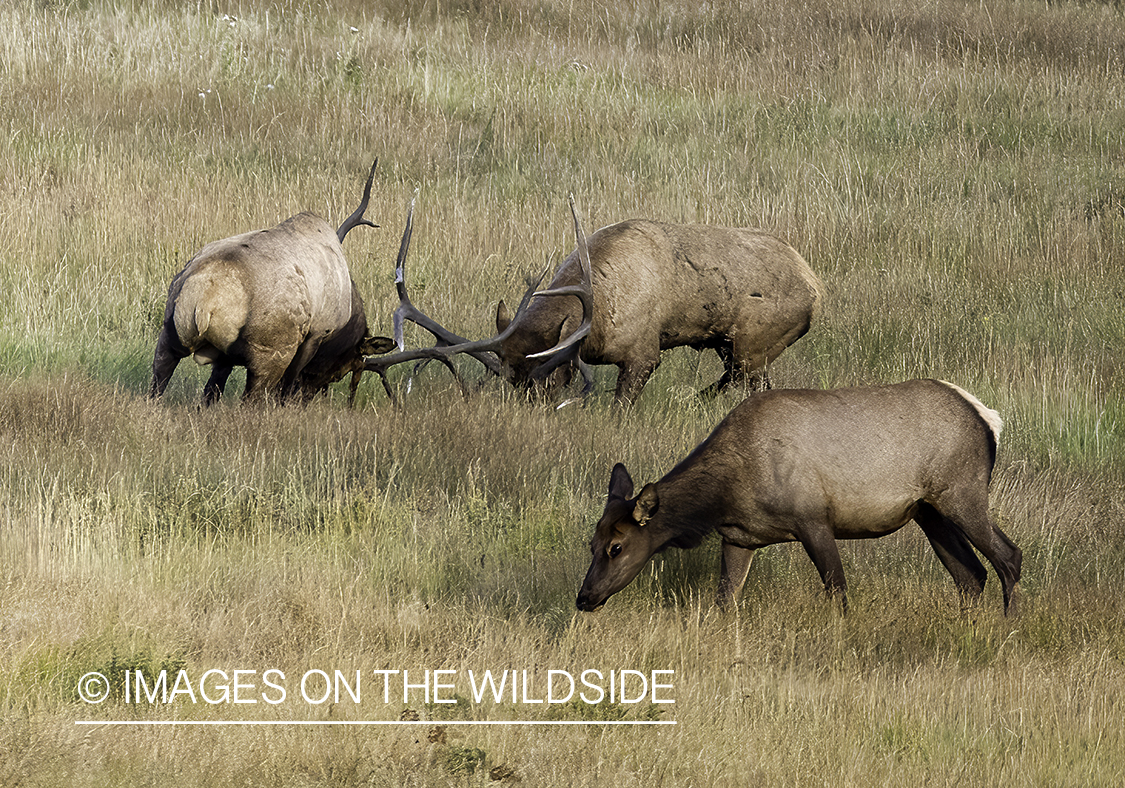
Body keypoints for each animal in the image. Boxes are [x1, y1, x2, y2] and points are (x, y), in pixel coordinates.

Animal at [149, 159, 396, 405]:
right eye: (341, 372)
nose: (307, 398)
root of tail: (204, 302)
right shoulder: (316, 333)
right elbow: (288, 383)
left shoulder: (224, 358)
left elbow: (211, 392)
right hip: (269, 354)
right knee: (251, 400)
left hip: (169, 334)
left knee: (159, 383)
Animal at [364, 200, 823, 405]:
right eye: (510, 382)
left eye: (546, 381)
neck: (597, 319)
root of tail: (816, 288)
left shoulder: (643, 352)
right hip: (731, 347)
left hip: (752, 346)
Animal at [576, 375, 1026, 616]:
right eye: (591, 544)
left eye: (617, 547)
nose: (584, 597)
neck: (725, 495)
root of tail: (989, 418)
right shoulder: (739, 537)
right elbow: (725, 601)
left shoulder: (813, 519)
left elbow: (837, 591)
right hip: (928, 511)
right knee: (970, 574)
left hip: (962, 491)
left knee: (1008, 556)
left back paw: (1009, 627)